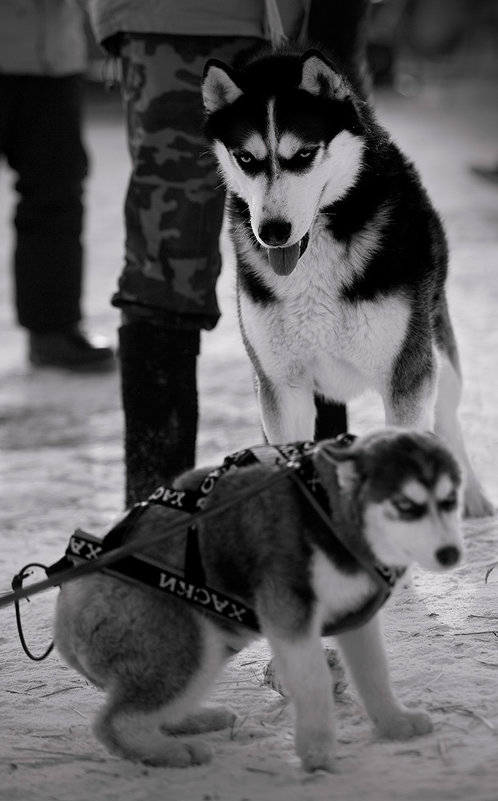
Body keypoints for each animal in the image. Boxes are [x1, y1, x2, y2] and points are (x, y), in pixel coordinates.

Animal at [54, 428, 462, 772]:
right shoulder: (288, 614)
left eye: (450, 500)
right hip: (187, 643)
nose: (451, 554)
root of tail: (65, 608)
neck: (326, 508)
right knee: (115, 722)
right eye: (406, 505)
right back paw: (169, 751)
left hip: (213, 641)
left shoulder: (357, 614)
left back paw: (191, 721)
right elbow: (313, 680)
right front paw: (317, 750)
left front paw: (393, 722)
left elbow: (374, 671)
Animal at [200, 45, 492, 520]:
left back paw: (472, 495)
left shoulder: (406, 376)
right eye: (246, 159)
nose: (273, 232)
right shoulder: (282, 384)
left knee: (448, 415)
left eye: (304, 155)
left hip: (437, 351)